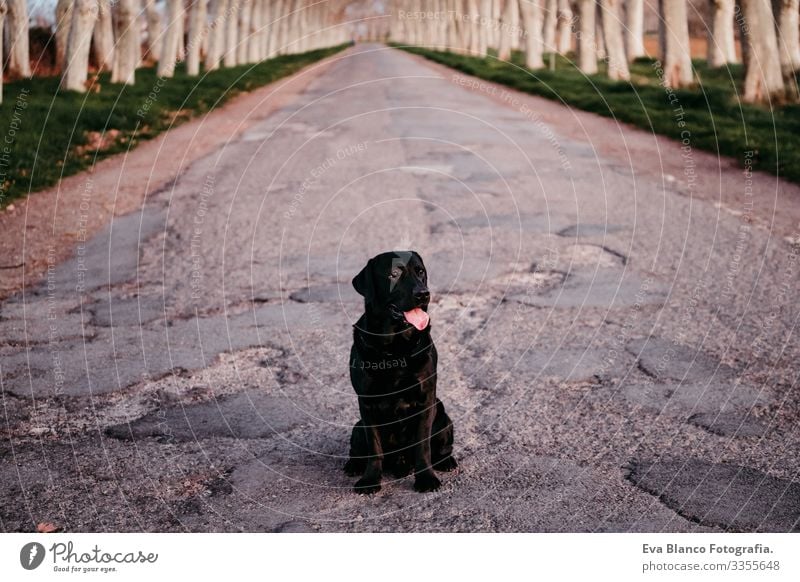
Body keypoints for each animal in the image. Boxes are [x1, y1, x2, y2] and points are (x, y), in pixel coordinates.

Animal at [344, 253, 456, 496]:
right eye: (393, 274)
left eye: (420, 271)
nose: (423, 293)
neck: (394, 348)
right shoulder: (367, 403)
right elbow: (375, 447)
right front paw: (370, 480)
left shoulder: (425, 399)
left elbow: (422, 446)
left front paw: (426, 479)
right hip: (358, 428)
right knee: (357, 449)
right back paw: (353, 465)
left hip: (442, 415)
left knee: (442, 447)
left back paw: (446, 461)